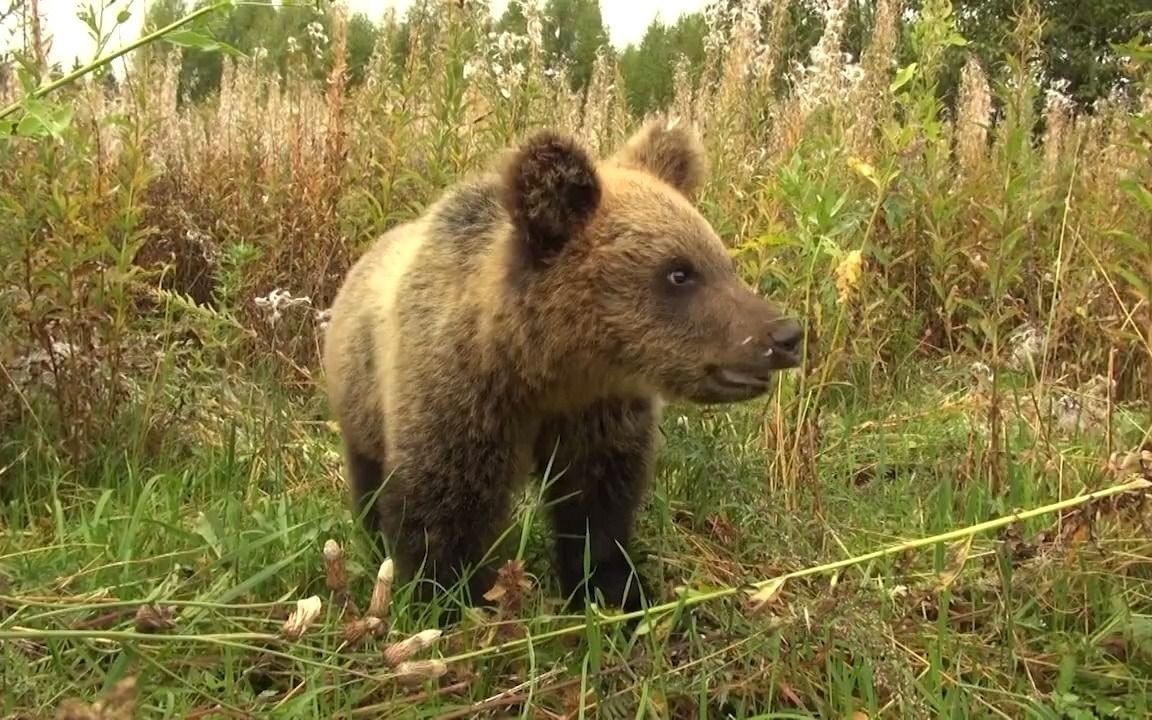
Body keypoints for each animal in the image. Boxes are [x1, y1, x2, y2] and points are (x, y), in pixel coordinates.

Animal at [320, 116, 806, 612]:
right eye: (679, 273)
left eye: (722, 262)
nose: (785, 335)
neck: (544, 366)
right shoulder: (460, 399)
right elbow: (442, 507)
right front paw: (447, 597)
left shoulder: (598, 412)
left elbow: (597, 506)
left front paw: (614, 591)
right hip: (360, 397)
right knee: (369, 480)